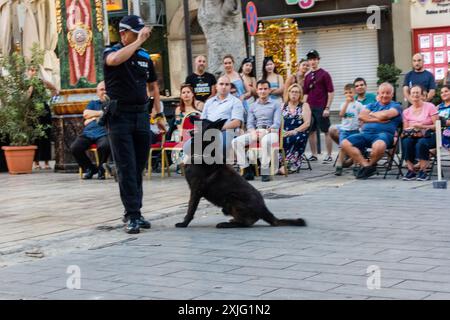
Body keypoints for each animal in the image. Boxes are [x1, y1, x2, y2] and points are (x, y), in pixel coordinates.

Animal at [175, 119, 306, 229]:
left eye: (202, 120)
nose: (191, 117)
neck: (204, 152)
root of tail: (264, 210)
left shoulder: (195, 190)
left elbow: (190, 209)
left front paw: (184, 223)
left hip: (232, 198)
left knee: (246, 223)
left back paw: (226, 224)